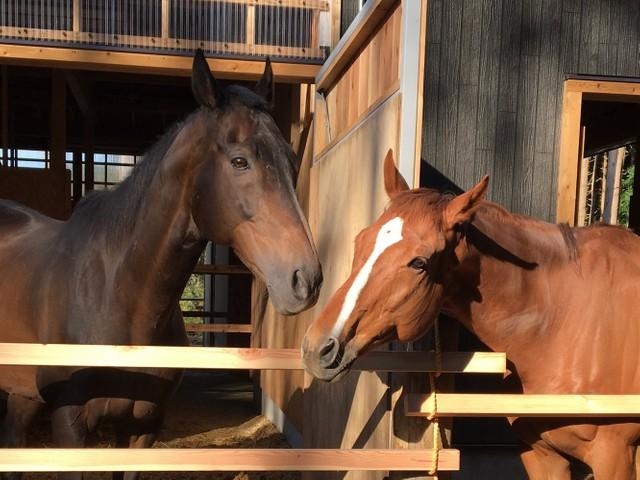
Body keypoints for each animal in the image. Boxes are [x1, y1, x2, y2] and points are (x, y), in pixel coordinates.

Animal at [0, 49, 322, 480]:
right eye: (240, 161)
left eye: (290, 159)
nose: (305, 279)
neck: (115, 295)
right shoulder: (71, 429)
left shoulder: (143, 428)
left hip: (23, 395)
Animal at [302, 149, 640, 479]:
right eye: (361, 240)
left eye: (419, 263)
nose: (319, 347)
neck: (560, 324)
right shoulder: (542, 455)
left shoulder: (613, 455)